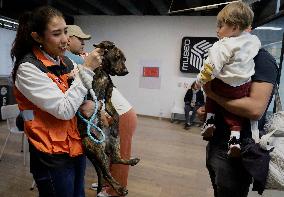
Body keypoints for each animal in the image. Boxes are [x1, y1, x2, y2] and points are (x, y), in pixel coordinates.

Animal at [77, 40, 140, 196]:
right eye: (117, 57)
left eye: (125, 59)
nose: (126, 71)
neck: (103, 72)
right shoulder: (90, 94)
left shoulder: (108, 99)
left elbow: (116, 114)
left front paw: (116, 126)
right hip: (98, 149)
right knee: (106, 173)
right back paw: (119, 188)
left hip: (114, 142)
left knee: (116, 159)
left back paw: (131, 161)